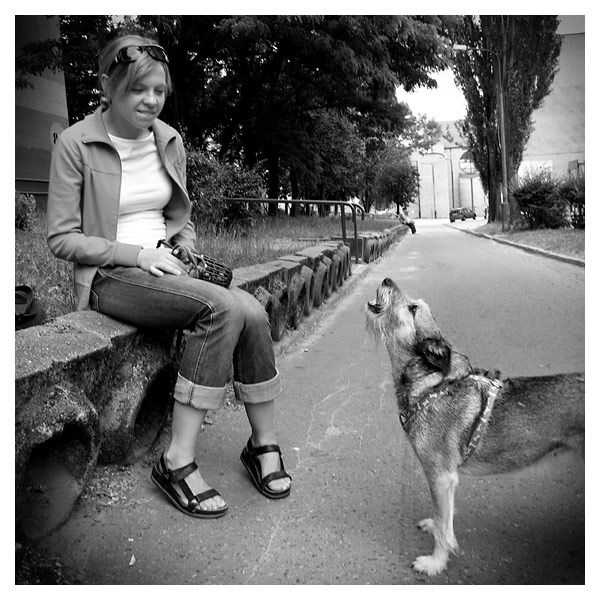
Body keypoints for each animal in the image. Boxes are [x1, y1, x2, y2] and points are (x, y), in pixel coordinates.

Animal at [365, 278, 584, 576]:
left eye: (413, 309)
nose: (386, 279)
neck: (431, 386)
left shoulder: (440, 475)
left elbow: (444, 527)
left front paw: (435, 562)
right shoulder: (446, 480)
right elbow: (443, 517)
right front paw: (435, 528)